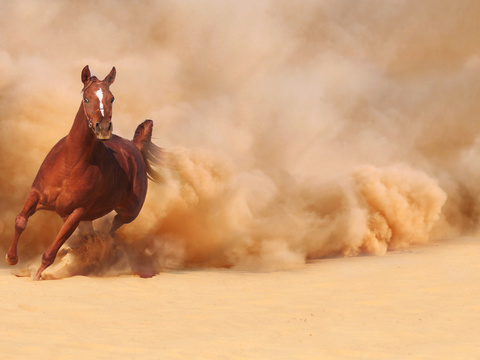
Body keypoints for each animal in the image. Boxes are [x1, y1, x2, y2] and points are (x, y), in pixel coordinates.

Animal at [5, 66, 162, 280]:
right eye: (87, 98)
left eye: (112, 98)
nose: (103, 128)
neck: (69, 165)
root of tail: (134, 146)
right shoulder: (36, 194)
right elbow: (20, 221)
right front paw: (11, 258)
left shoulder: (76, 212)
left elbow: (51, 250)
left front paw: (37, 275)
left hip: (127, 213)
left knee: (110, 231)